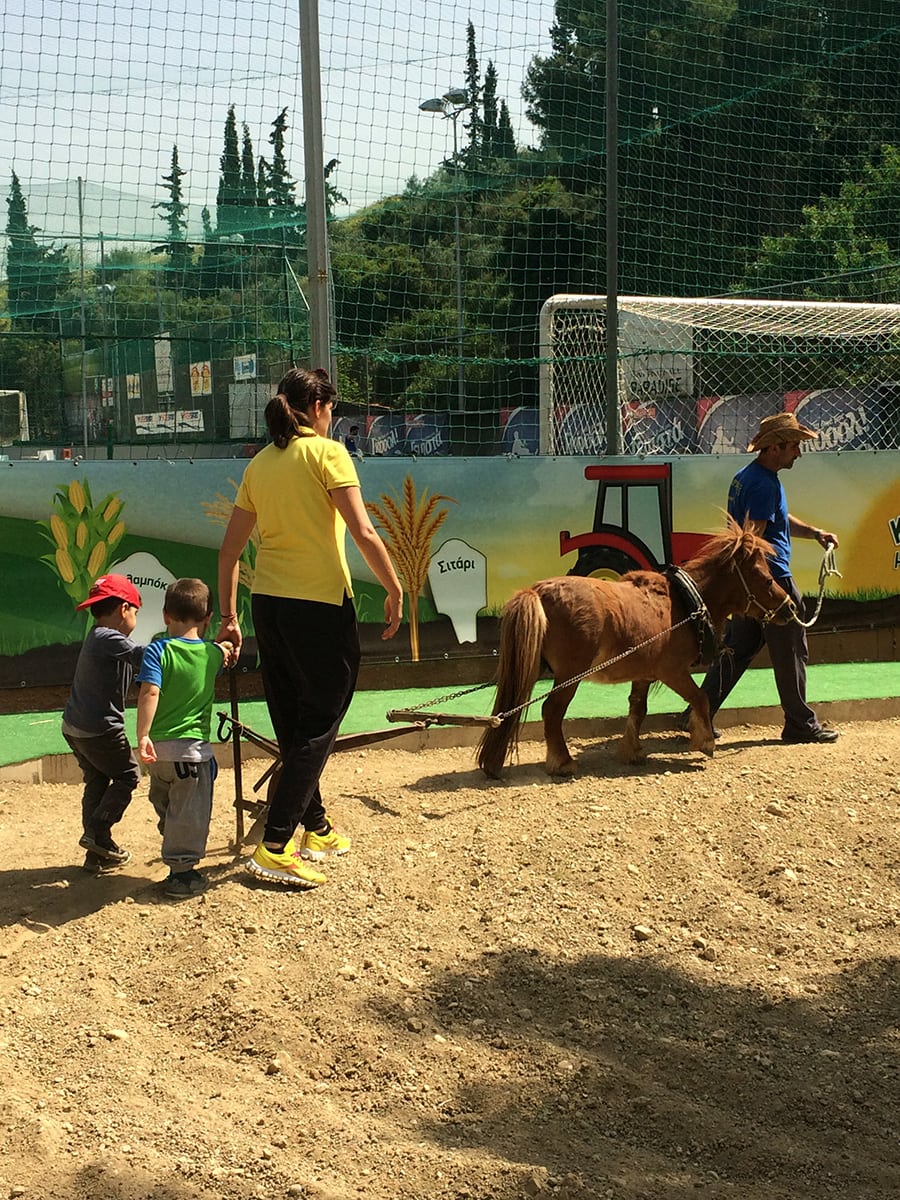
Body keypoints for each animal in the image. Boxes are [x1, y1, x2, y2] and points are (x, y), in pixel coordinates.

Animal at [480, 516, 796, 777]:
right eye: (767, 579)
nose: (790, 607)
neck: (684, 603)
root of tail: (537, 591)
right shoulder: (672, 671)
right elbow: (700, 697)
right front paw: (704, 740)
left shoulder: (644, 674)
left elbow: (637, 709)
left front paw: (631, 751)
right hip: (570, 674)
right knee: (552, 710)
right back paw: (562, 763)